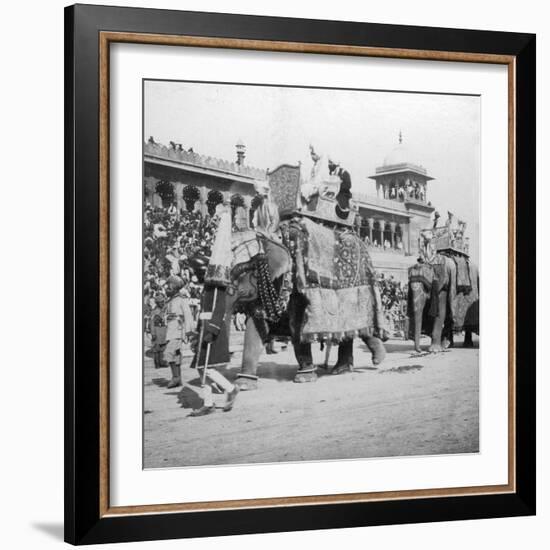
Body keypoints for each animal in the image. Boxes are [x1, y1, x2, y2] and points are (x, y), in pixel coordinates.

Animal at [226, 217, 390, 392]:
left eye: (242, 273)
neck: (273, 237)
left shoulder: (297, 284)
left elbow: (297, 327)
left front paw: (304, 378)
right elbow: (256, 327)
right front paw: (243, 384)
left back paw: (375, 359)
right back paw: (344, 368)